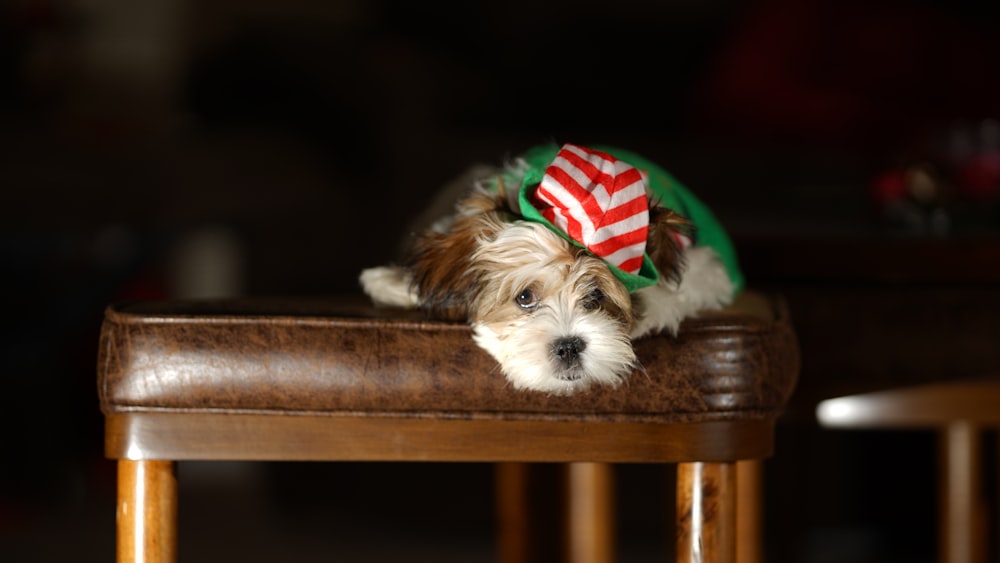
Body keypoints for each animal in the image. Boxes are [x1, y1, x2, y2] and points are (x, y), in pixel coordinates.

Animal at [360, 143, 744, 394]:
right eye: (525, 297)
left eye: (596, 297)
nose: (569, 346)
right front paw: (391, 281)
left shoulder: (706, 267)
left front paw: (650, 307)